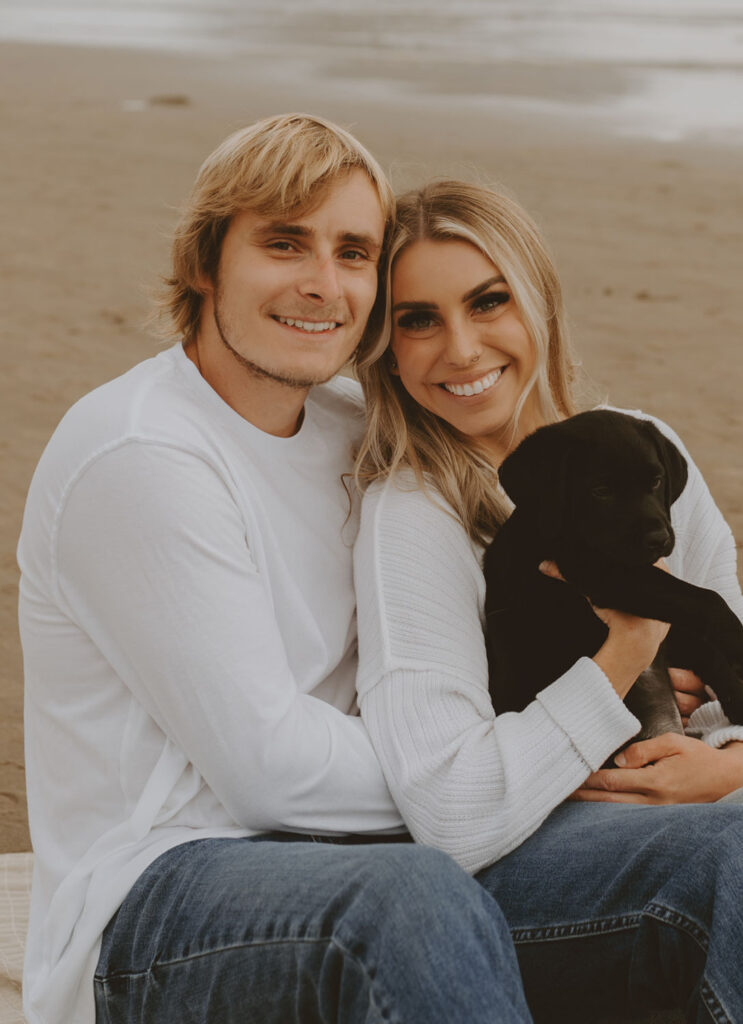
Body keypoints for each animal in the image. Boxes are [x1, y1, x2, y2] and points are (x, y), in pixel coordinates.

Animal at [485, 407, 743, 745]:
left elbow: (702, 640)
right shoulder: (599, 573)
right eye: (601, 491)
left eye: (656, 481)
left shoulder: (663, 626)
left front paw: (737, 690)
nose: (659, 539)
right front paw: (738, 640)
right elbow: (706, 599)